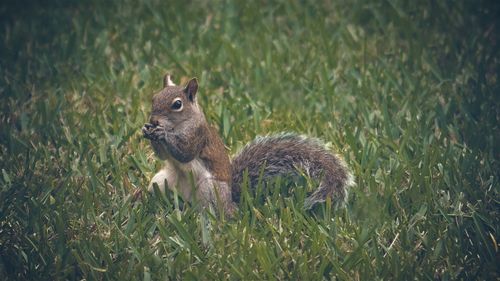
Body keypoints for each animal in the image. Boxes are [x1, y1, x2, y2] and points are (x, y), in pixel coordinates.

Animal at [141, 74, 352, 214]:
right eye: (154, 98)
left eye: (177, 104)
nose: (153, 120)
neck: (180, 124)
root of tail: (232, 201)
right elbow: (163, 155)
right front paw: (147, 130)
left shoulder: (198, 136)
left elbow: (185, 152)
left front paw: (162, 133)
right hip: (162, 181)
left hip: (209, 189)